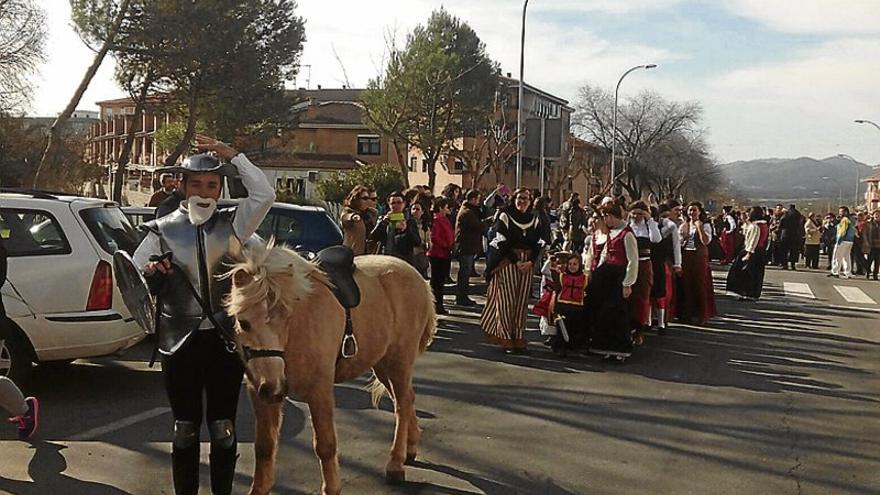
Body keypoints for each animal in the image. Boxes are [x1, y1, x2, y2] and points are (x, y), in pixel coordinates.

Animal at [223, 242, 436, 494]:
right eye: (243, 322)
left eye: (287, 316)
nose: (271, 386)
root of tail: (418, 277)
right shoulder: (260, 394)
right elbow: (264, 446)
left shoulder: (319, 390)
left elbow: (325, 444)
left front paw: (332, 487)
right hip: (383, 365)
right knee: (407, 399)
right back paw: (410, 449)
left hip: (398, 362)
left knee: (402, 406)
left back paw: (395, 464)